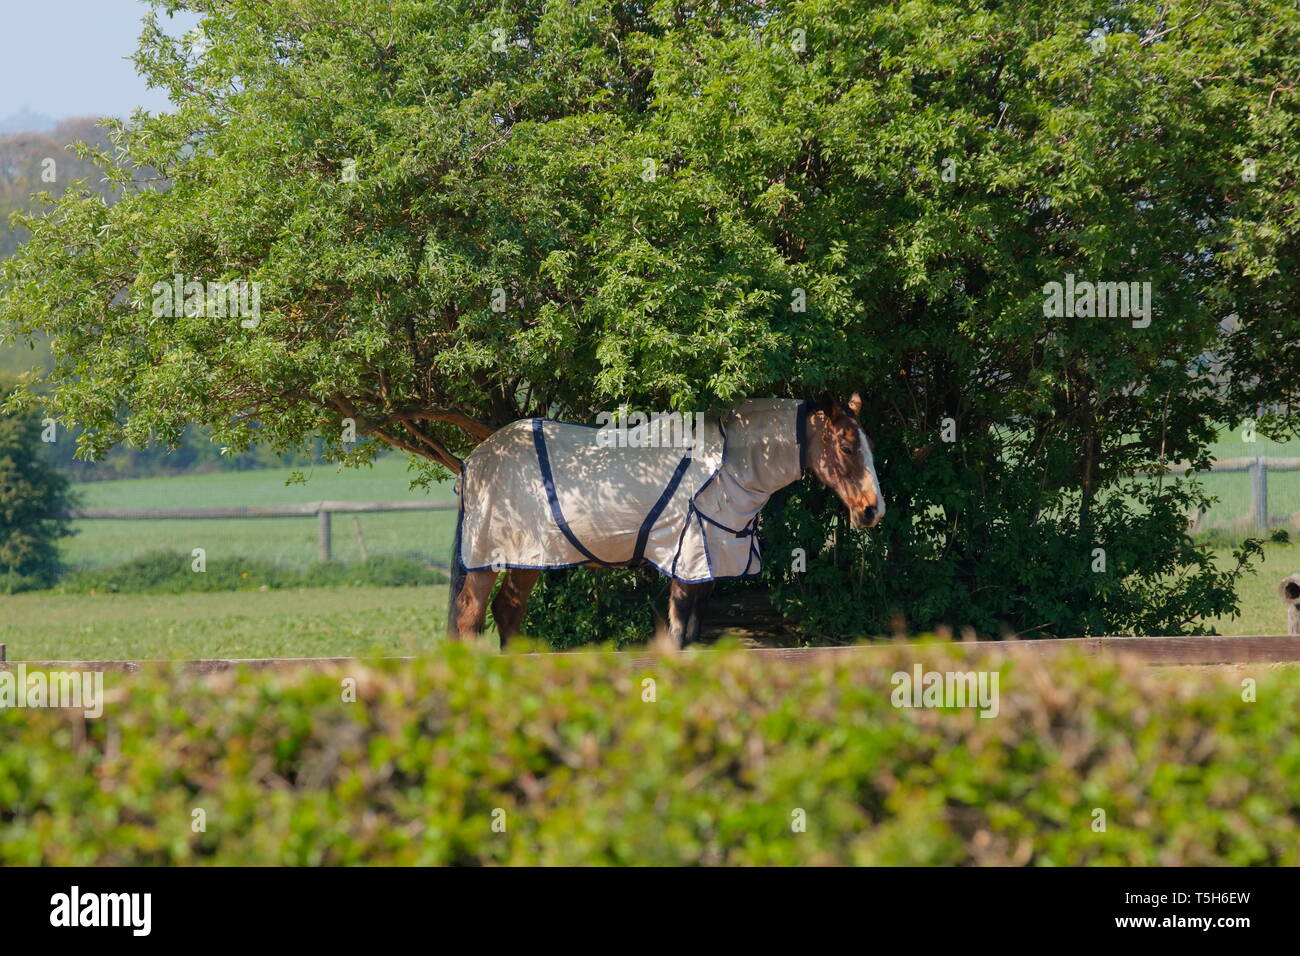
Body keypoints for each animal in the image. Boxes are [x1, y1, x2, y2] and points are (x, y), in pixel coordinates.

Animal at [444, 392, 883, 647]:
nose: (871, 510)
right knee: (470, 616)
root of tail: (474, 461)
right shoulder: (686, 559)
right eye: (847, 446)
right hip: (487, 557)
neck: (727, 464)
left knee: (507, 611)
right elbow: (678, 634)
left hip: (530, 559)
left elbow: (694, 634)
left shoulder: (709, 563)